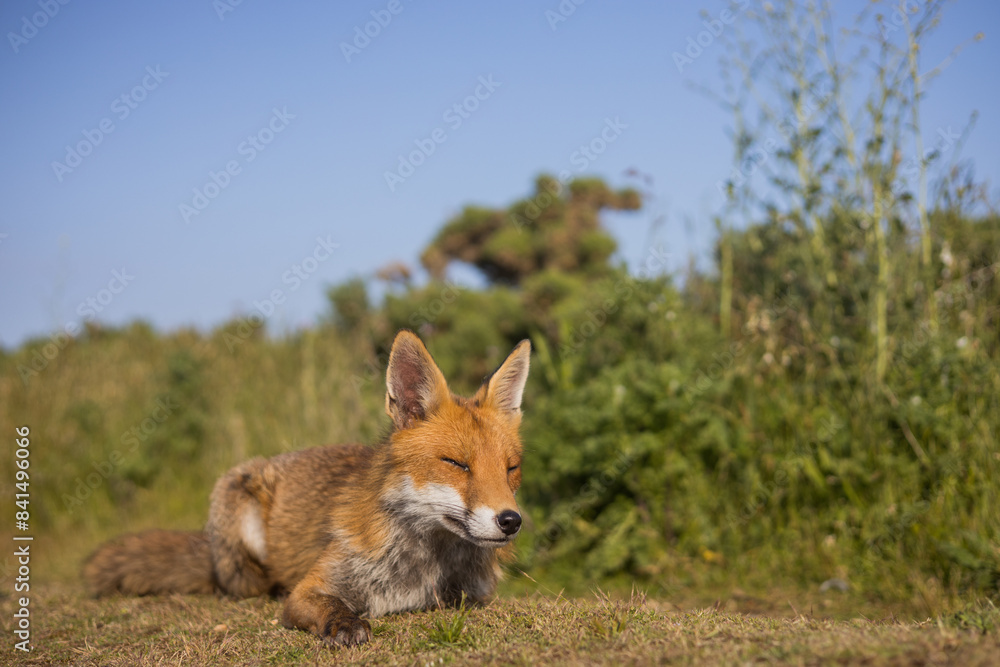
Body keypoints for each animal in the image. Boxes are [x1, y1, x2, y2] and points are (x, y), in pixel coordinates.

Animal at [83, 330, 531, 647]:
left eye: (511, 468)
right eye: (457, 464)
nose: (511, 520)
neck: (425, 563)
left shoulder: (476, 595)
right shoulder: (311, 588)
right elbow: (329, 605)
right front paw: (345, 625)